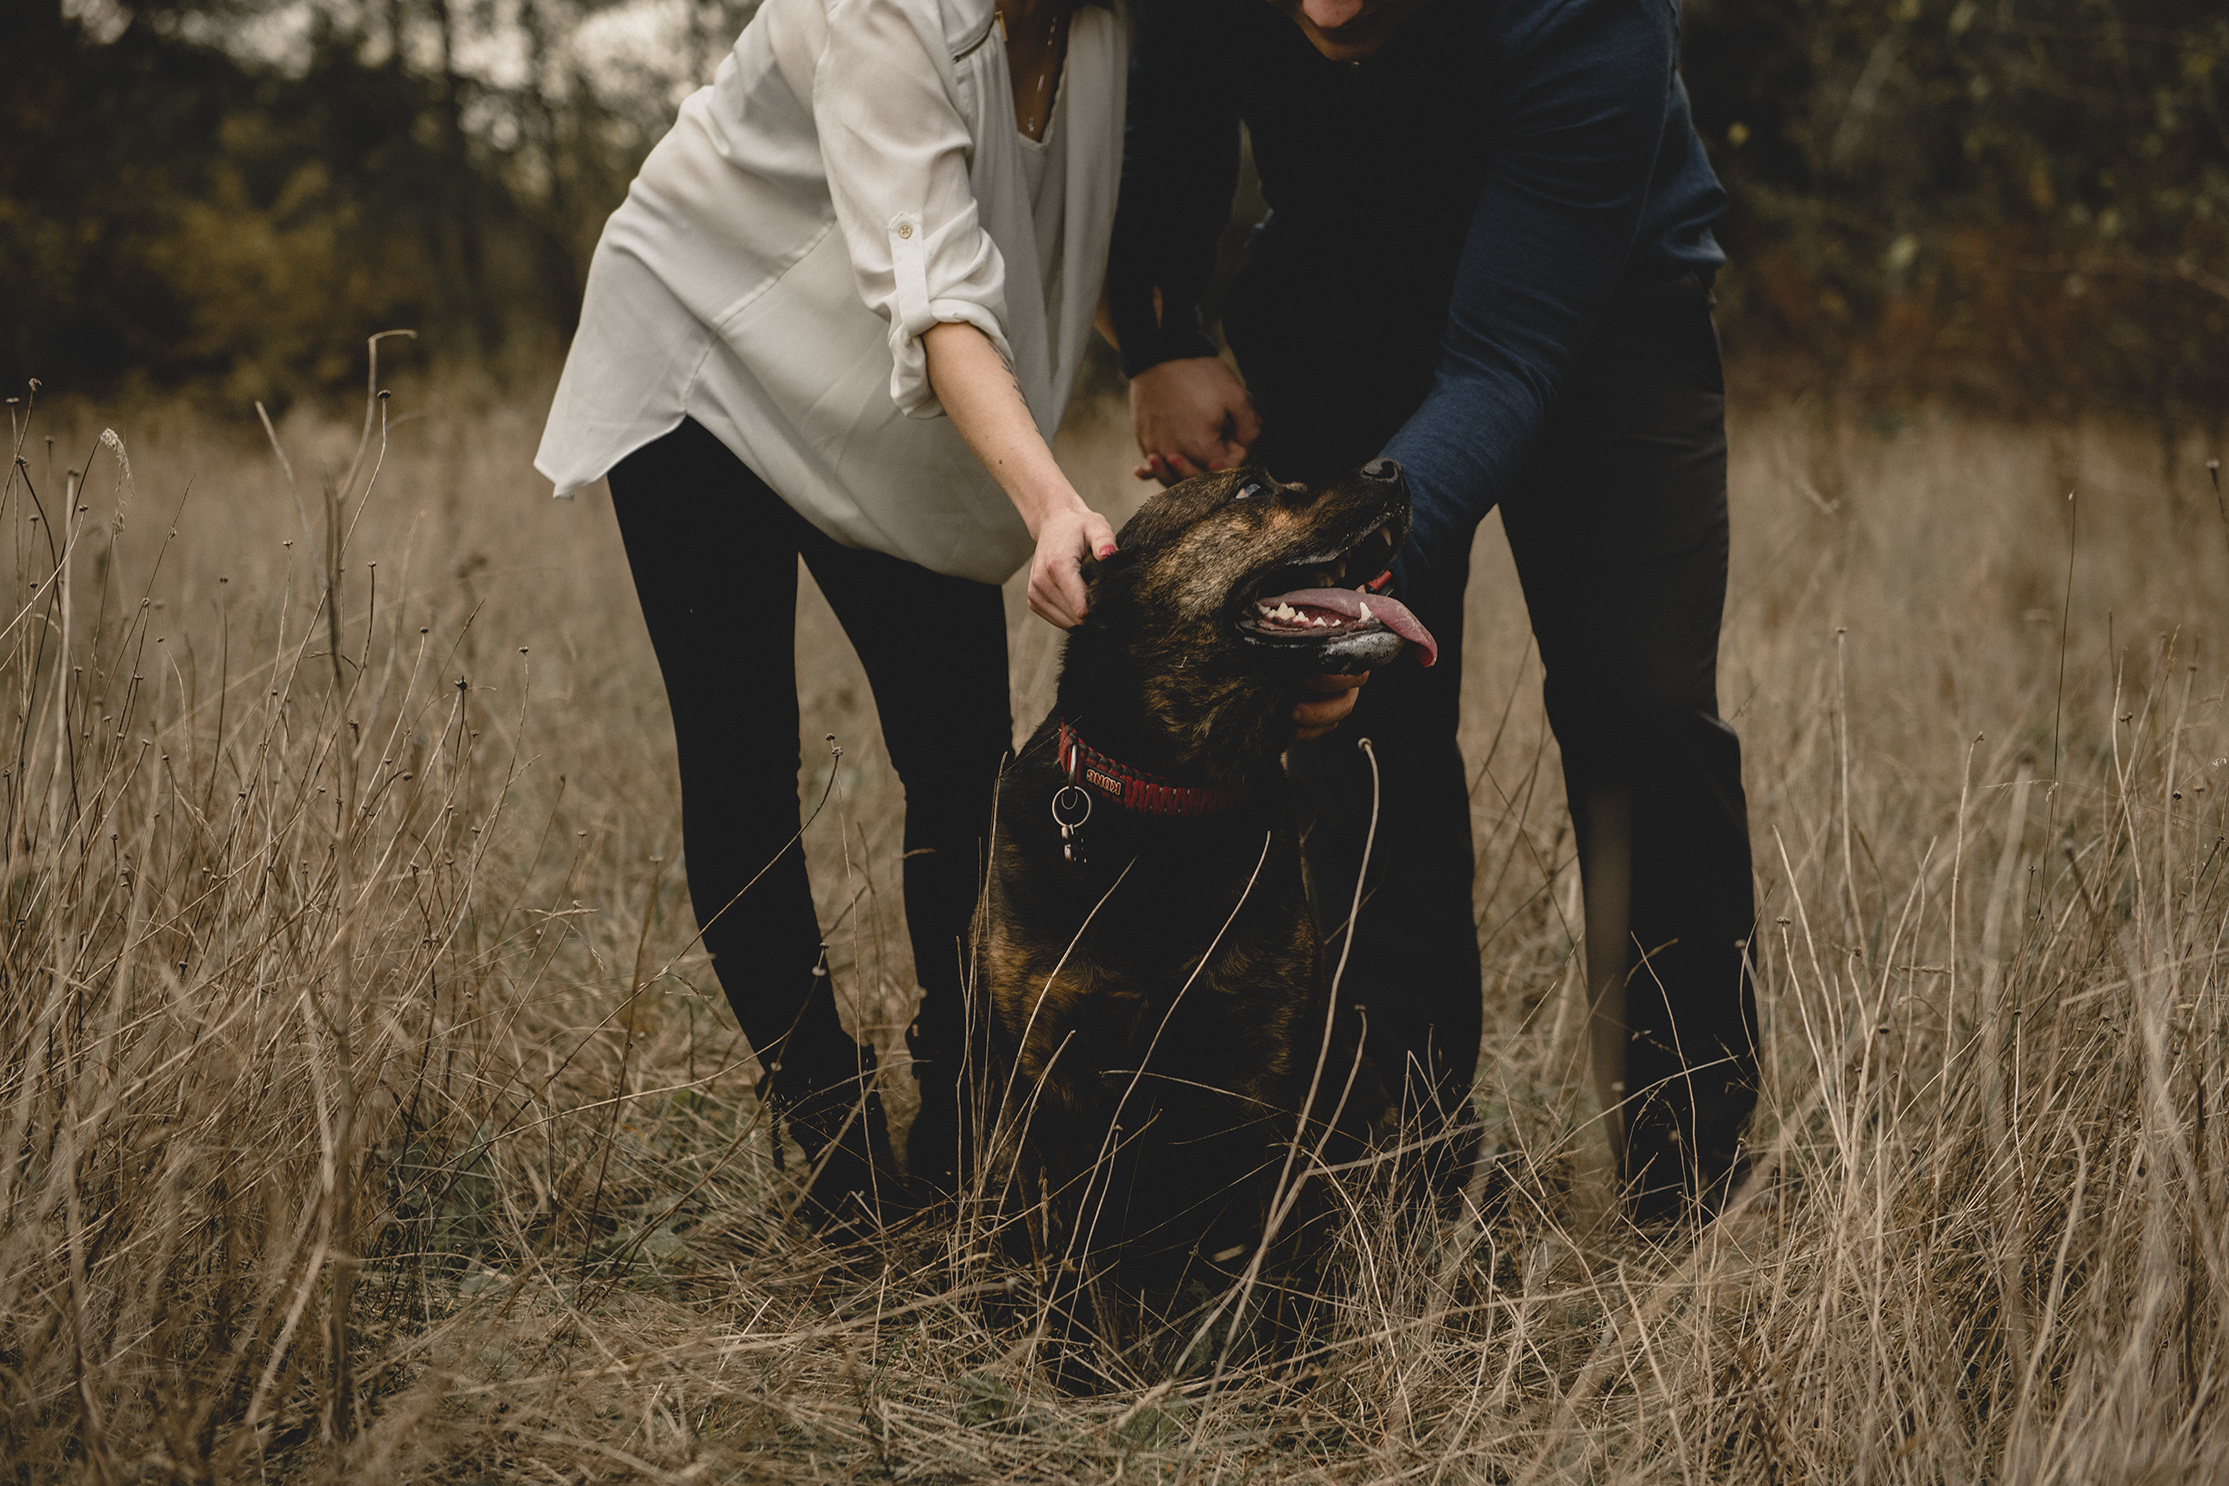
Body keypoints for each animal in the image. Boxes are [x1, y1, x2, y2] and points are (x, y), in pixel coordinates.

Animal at [980, 458, 1435, 1381]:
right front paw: (1072, 1379)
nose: (1391, 466)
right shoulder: (1049, 1082)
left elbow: (1261, 1267)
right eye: (1253, 490)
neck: (1171, 801)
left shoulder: (1261, 1082)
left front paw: (1265, 1375)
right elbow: (1069, 1266)